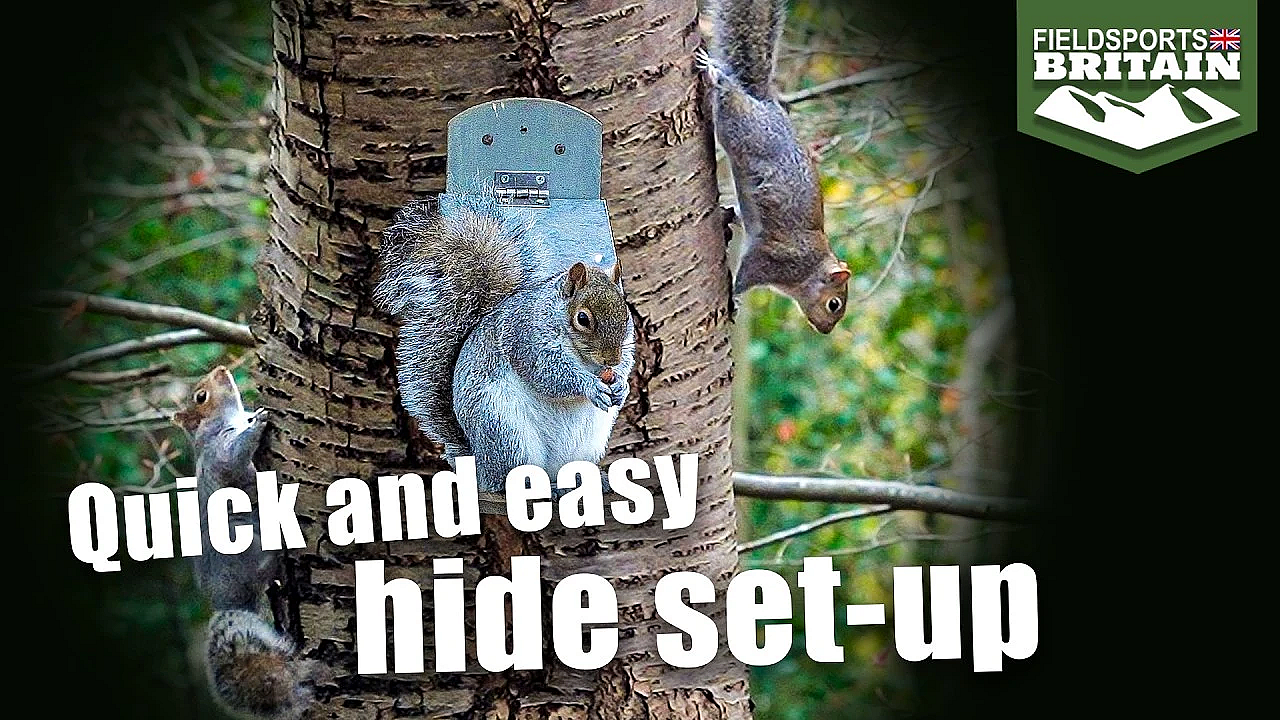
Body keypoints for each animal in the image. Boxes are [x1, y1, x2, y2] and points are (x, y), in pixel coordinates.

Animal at [173, 366, 317, 720]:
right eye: (200, 396)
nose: (222, 369)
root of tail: (231, 601)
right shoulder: (222, 452)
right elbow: (237, 456)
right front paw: (259, 421)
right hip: (249, 539)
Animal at [374, 191, 635, 492]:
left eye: (626, 313)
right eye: (582, 318)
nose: (611, 359)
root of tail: (479, 466)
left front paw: (621, 384)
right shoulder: (525, 336)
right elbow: (548, 374)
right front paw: (589, 386)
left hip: (583, 444)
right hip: (505, 434)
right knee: (509, 479)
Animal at [698, 0, 850, 334]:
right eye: (834, 304)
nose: (825, 330)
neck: (809, 270)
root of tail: (766, 103)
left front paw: (732, 216)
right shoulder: (772, 260)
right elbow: (744, 278)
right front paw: (734, 300)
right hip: (742, 129)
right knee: (729, 97)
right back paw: (715, 72)